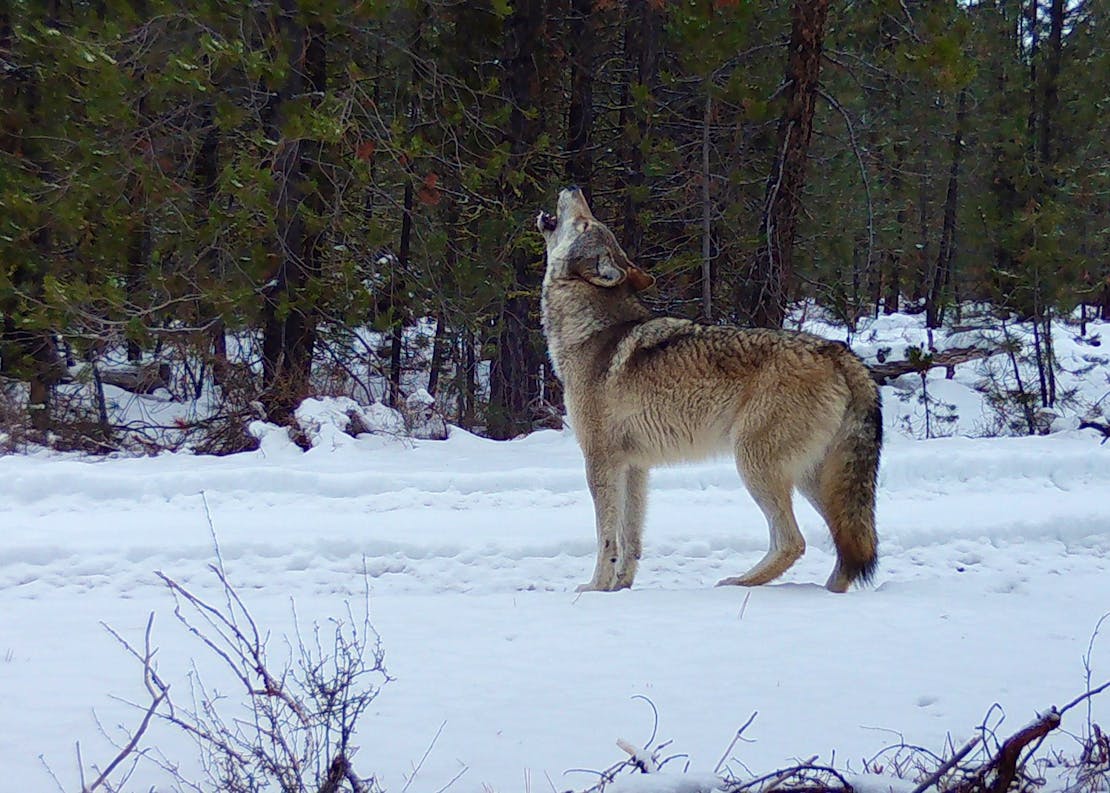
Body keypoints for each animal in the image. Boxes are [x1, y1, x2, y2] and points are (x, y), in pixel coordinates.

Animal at [538, 187, 881, 593]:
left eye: (586, 223)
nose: (573, 188)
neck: (589, 332)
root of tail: (837, 351)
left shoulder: (600, 460)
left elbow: (607, 538)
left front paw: (595, 588)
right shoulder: (634, 466)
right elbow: (630, 538)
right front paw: (621, 588)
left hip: (754, 463)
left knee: (793, 542)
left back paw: (739, 582)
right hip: (814, 479)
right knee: (847, 547)